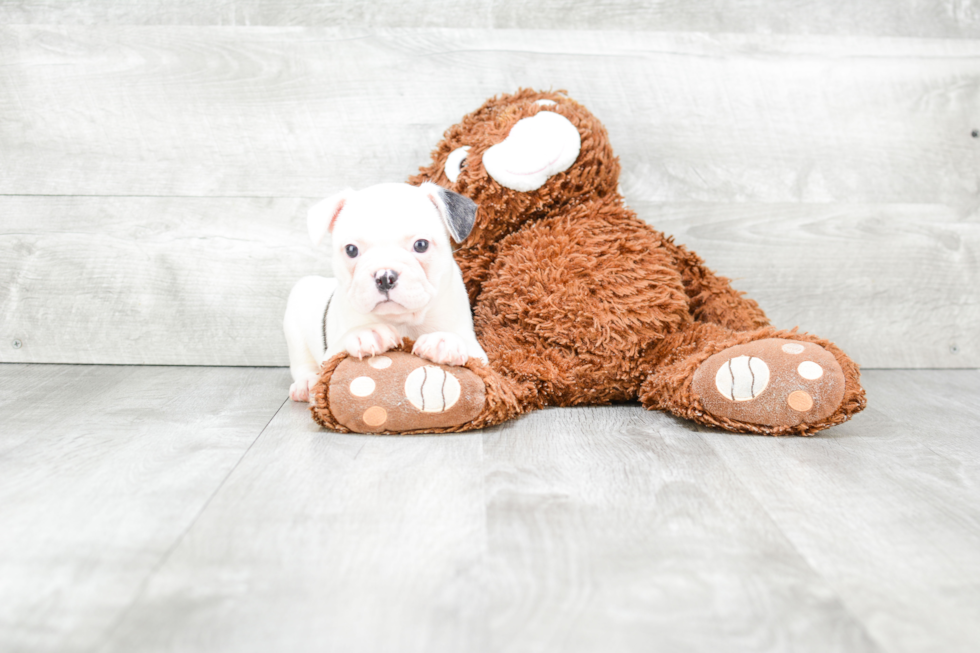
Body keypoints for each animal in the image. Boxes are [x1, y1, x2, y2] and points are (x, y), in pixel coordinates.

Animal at [284, 181, 486, 400]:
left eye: (421, 245)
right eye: (351, 250)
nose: (384, 277)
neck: (402, 320)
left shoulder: (478, 352)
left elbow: (468, 348)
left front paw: (444, 341)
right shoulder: (331, 354)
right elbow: (341, 345)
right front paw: (366, 333)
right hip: (295, 322)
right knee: (302, 364)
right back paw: (306, 383)